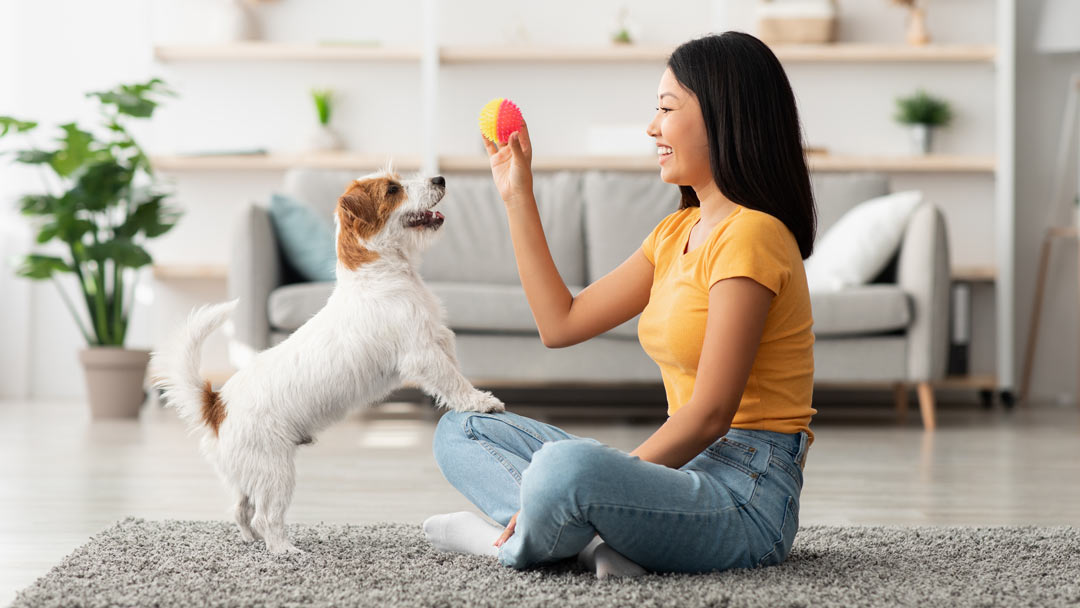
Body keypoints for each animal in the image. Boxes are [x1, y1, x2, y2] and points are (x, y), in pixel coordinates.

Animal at [150, 168, 503, 552]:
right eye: (392, 189)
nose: (440, 179)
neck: (378, 273)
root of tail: (216, 405)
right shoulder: (423, 353)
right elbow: (453, 381)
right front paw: (481, 402)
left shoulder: (440, 339)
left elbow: (455, 371)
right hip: (275, 471)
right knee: (265, 516)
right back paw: (285, 551)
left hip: (248, 473)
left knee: (240, 509)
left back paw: (251, 540)